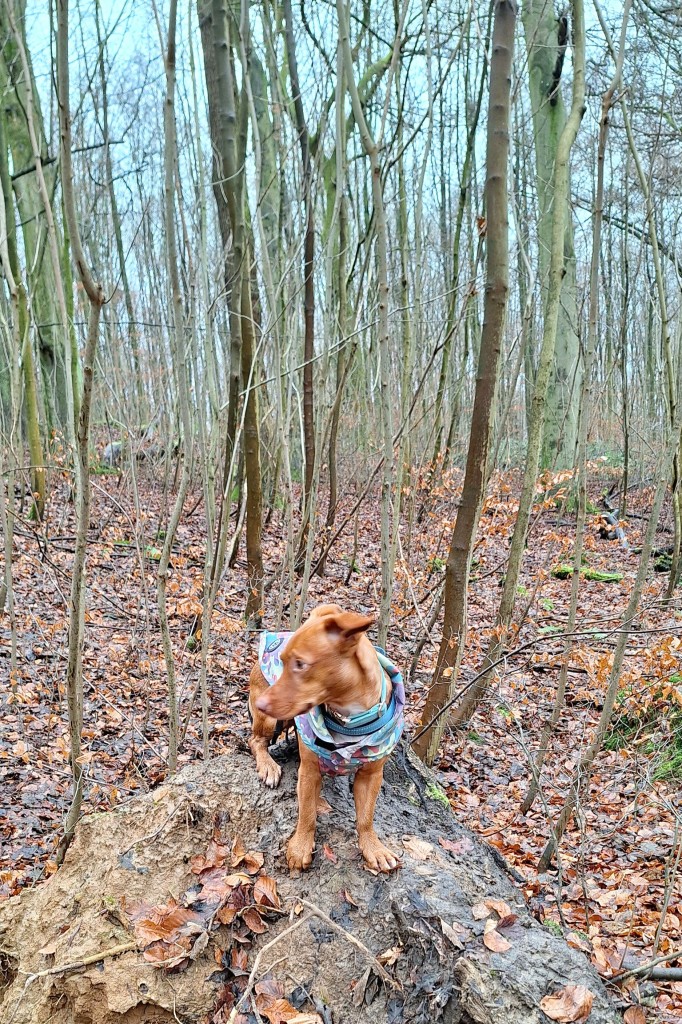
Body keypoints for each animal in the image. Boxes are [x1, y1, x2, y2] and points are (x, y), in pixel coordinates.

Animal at [246, 602, 401, 876]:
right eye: (283, 662)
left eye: (300, 664)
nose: (262, 704)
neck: (348, 718)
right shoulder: (308, 771)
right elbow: (306, 813)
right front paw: (300, 847)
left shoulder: (372, 776)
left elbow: (366, 817)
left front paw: (374, 848)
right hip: (270, 722)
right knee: (256, 742)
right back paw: (268, 766)